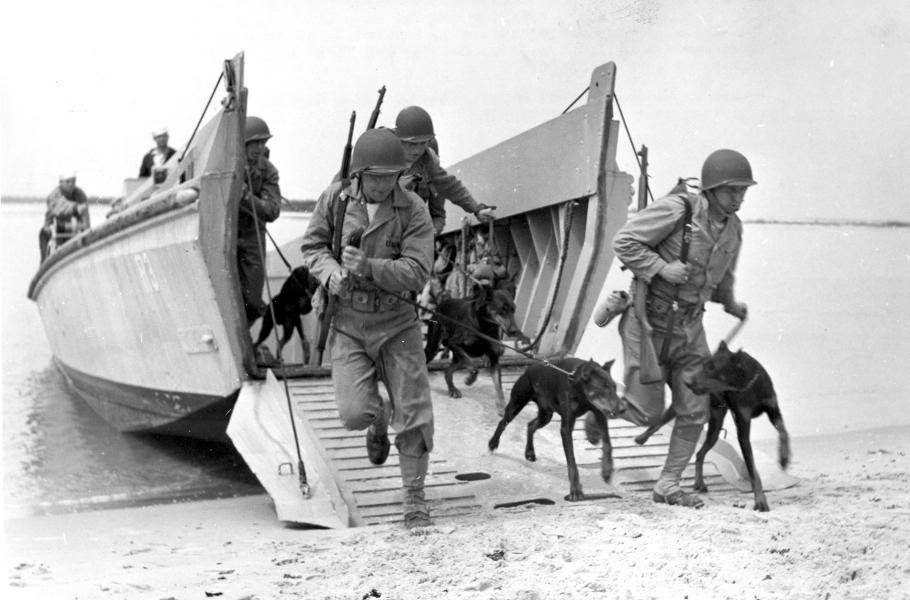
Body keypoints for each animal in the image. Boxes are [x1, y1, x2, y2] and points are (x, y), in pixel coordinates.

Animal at [424, 281, 530, 414]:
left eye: (513, 310)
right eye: (502, 309)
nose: (516, 331)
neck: (485, 326)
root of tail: (440, 305)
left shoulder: (494, 358)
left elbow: (498, 385)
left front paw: (501, 406)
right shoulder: (453, 343)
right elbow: (474, 367)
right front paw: (470, 380)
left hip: (458, 358)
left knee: (448, 371)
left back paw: (452, 389)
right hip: (434, 348)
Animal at [487, 357, 624, 501]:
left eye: (614, 387)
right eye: (604, 388)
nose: (623, 409)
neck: (578, 388)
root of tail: (528, 369)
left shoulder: (599, 413)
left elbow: (607, 443)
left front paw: (607, 471)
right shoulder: (566, 428)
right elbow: (571, 461)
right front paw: (575, 490)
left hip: (546, 414)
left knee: (531, 425)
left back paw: (530, 452)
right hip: (517, 402)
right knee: (503, 422)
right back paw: (493, 443)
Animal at [634, 341, 791, 511]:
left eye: (711, 368)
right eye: (703, 365)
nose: (687, 382)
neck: (748, 385)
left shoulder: (773, 410)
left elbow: (783, 431)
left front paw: (784, 458)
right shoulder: (742, 425)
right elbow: (752, 469)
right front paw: (760, 501)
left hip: (715, 428)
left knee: (700, 453)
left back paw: (699, 483)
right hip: (686, 409)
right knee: (659, 423)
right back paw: (641, 437)